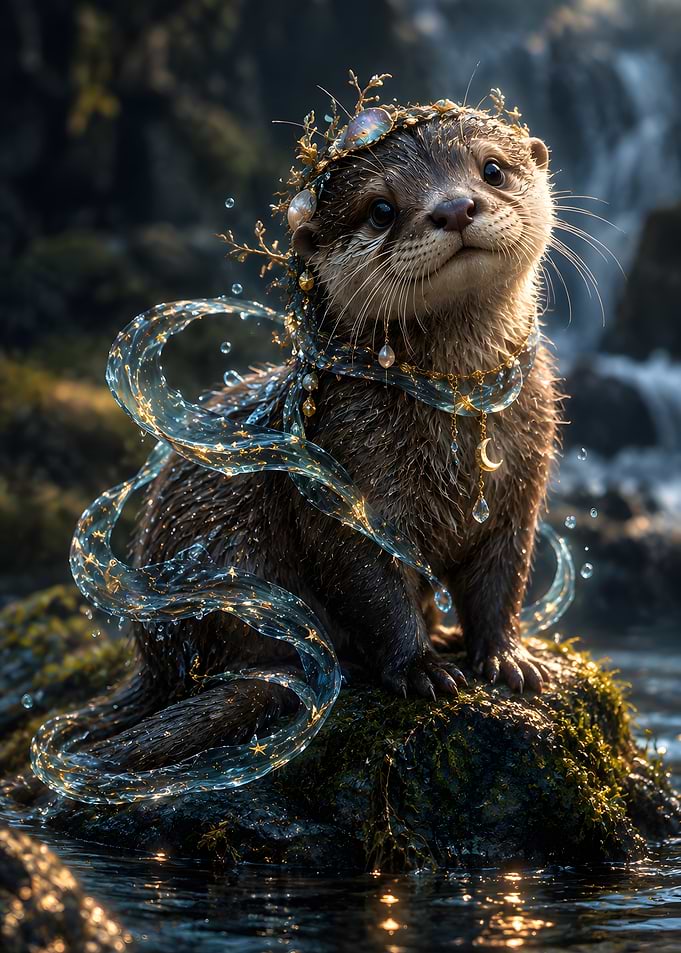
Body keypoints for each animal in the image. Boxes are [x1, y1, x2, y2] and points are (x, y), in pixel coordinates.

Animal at [50, 103, 561, 774]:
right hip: (224, 555)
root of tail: (154, 659)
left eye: (493, 169)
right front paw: (421, 668)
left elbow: (503, 580)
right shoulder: (338, 477)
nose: (453, 207)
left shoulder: (521, 486)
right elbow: (370, 587)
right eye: (380, 209)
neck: (458, 428)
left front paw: (508, 658)